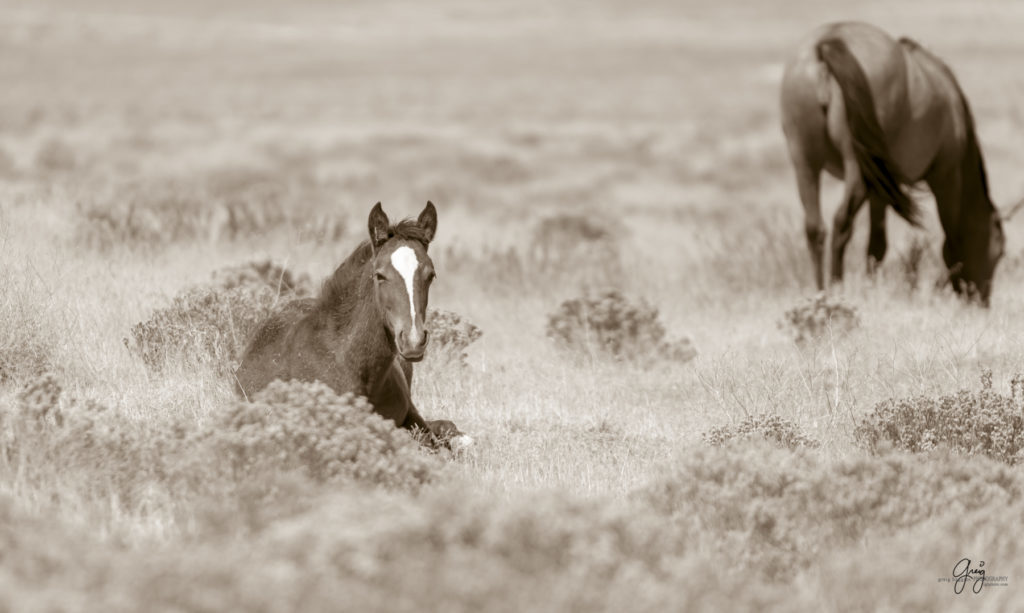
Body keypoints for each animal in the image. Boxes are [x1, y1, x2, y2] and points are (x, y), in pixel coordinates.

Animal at [778, 20, 1003, 304]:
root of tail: (827, 43)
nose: (981, 302)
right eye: (998, 253)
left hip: (805, 162)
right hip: (857, 167)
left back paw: (821, 294)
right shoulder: (945, 175)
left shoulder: (881, 187)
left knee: (815, 229)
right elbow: (948, 239)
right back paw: (837, 289)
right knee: (841, 223)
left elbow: (876, 245)